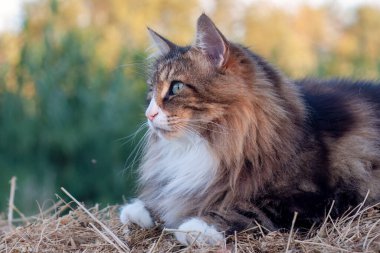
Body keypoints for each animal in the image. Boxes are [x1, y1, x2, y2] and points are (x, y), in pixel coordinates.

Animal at [120, 13, 380, 245]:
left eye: (176, 87)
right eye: (151, 91)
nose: (149, 114)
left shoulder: (315, 198)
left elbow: (249, 208)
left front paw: (197, 227)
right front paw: (139, 211)